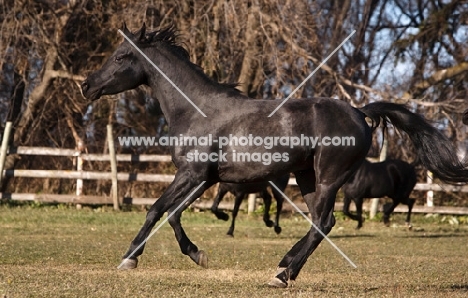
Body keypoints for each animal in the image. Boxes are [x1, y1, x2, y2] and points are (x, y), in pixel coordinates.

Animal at [80, 24, 468, 288]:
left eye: (121, 56)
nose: (87, 85)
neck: (195, 111)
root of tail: (361, 112)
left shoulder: (191, 174)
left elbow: (156, 209)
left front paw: (129, 258)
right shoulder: (204, 178)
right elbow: (173, 214)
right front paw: (198, 254)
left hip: (328, 177)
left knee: (324, 223)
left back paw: (283, 274)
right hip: (307, 178)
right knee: (321, 224)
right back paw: (283, 266)